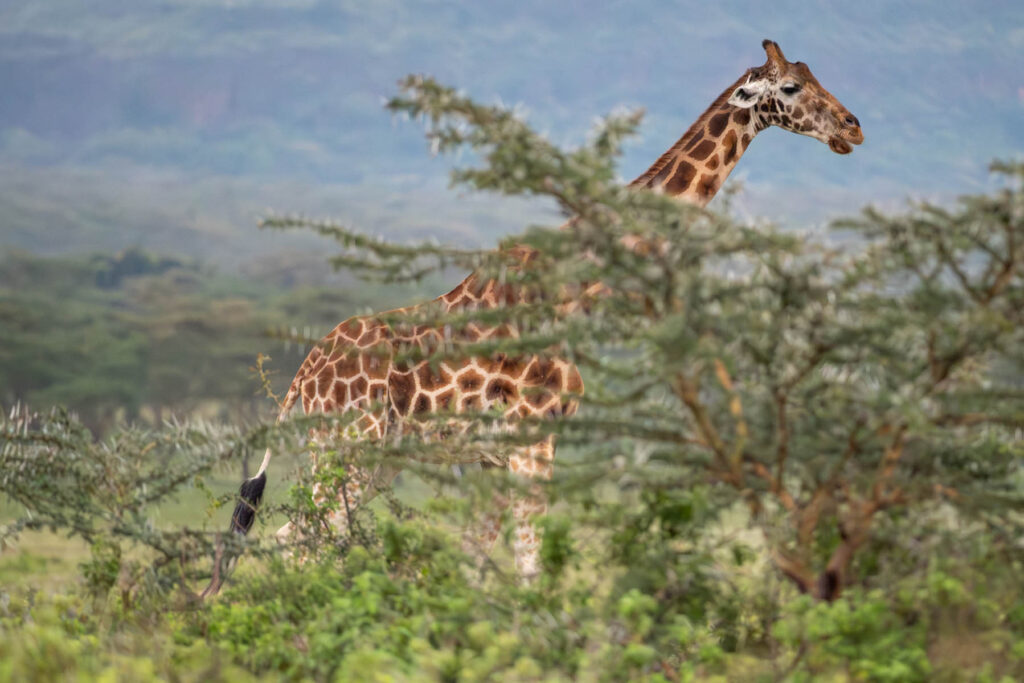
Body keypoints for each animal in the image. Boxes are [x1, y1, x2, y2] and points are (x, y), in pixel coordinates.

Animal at [208, 39, 863, 592]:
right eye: (791, 88)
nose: (853, 127)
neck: (579, 290)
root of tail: (301, 378)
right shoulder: (533, 443)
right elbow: (528, 570)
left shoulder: (496, 456)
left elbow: (480, 564)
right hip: (347, 446)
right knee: (303, 542)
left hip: (371, 460)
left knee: (296, 537)